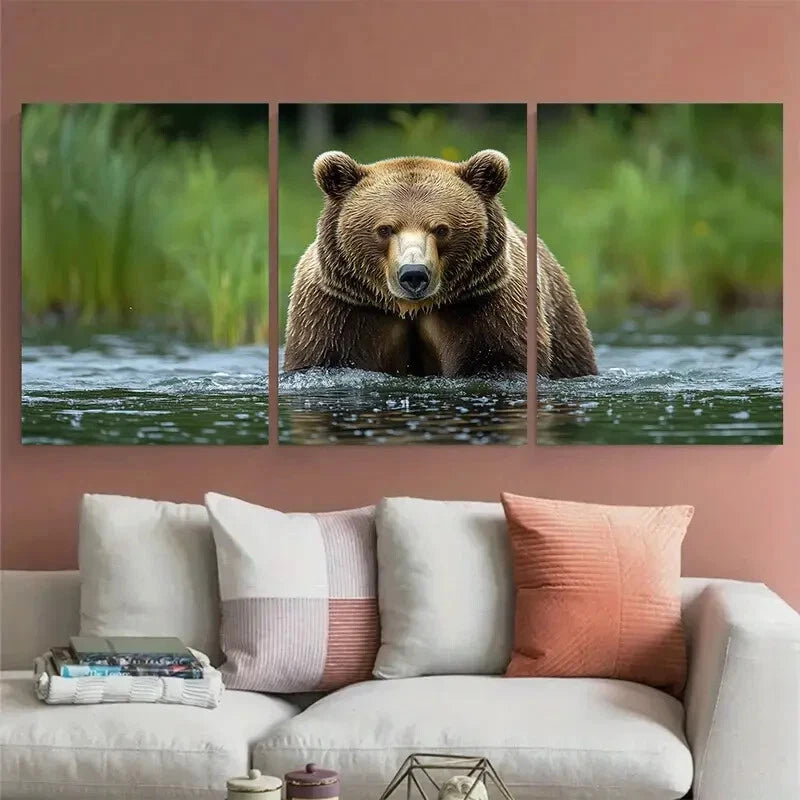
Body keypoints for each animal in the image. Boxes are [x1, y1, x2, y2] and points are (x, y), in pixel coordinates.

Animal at [283, 149, 597, 379]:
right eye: (384, 229)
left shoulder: (488, 305)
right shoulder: (339, 309)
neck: (410, 309)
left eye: (441, 229)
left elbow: (502, 360)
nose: (413, 274)